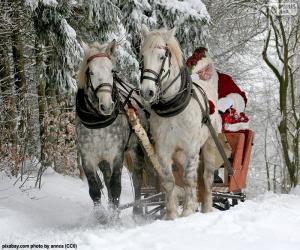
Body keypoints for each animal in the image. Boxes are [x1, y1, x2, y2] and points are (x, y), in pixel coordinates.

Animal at [140, 24, 220, 218]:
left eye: (162, 57)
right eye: (142, 57)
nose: (147, 92)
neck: (173, 109)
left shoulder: (192, 148)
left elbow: (189, 180)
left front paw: (188, 212)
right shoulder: (163, 150)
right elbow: (169, 181)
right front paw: (171, 215)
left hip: (209, 146)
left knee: (206, 178)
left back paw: (206, 208)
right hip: (180, 155)